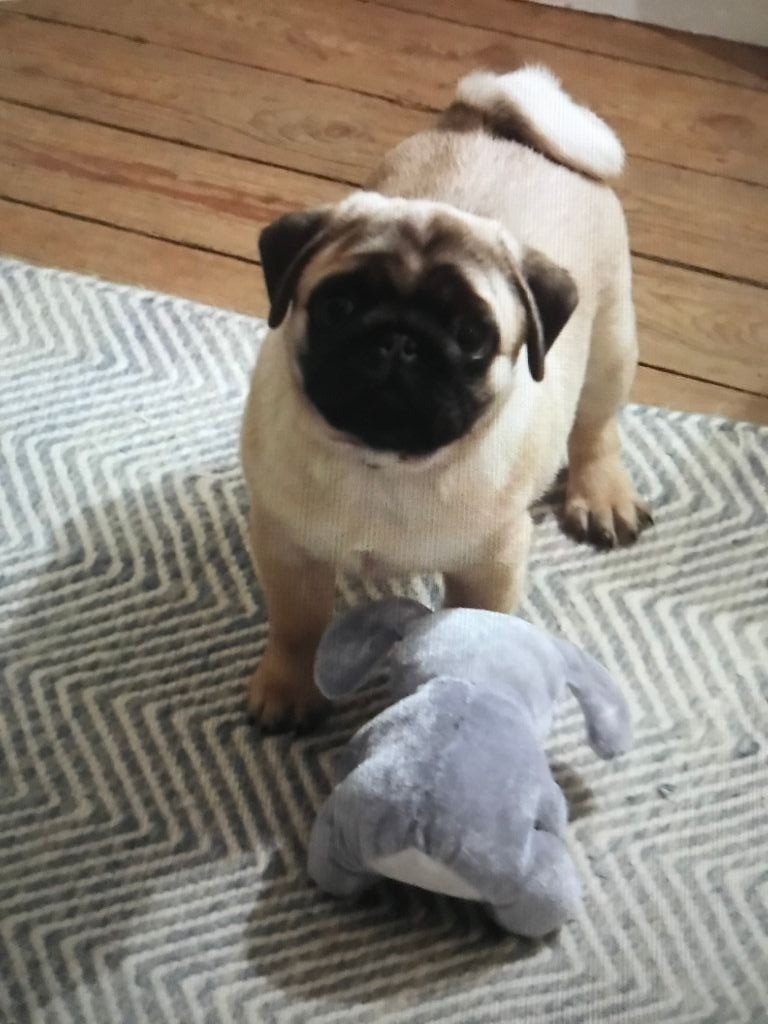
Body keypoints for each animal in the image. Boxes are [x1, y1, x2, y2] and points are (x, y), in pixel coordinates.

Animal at [240, 66, 651, 731]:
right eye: (337, 306)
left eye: (473, 337)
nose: (399, 342)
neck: (382, 467)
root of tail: (499, 120)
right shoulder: (287, 546)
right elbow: (298, 625)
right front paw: (289, 688)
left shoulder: (490, 564)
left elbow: (474, 626)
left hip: (611, 342)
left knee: (595, 426)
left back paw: (601, 495)